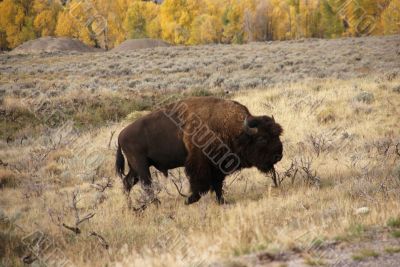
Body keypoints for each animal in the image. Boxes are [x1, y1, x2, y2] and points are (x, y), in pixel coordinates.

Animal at [117, 96, 282, 205]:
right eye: (262, 139)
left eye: (278, 134)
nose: (278, 156)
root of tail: (120, 135)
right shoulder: (200, 162)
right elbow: (200, 183)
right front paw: (189, 200)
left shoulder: (217, 166)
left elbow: (217, 184)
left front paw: (222, 201)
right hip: (141, 165)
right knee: (146, 185)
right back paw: (155, 204)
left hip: (136, 167)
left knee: (128, 182)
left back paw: (129, 205)